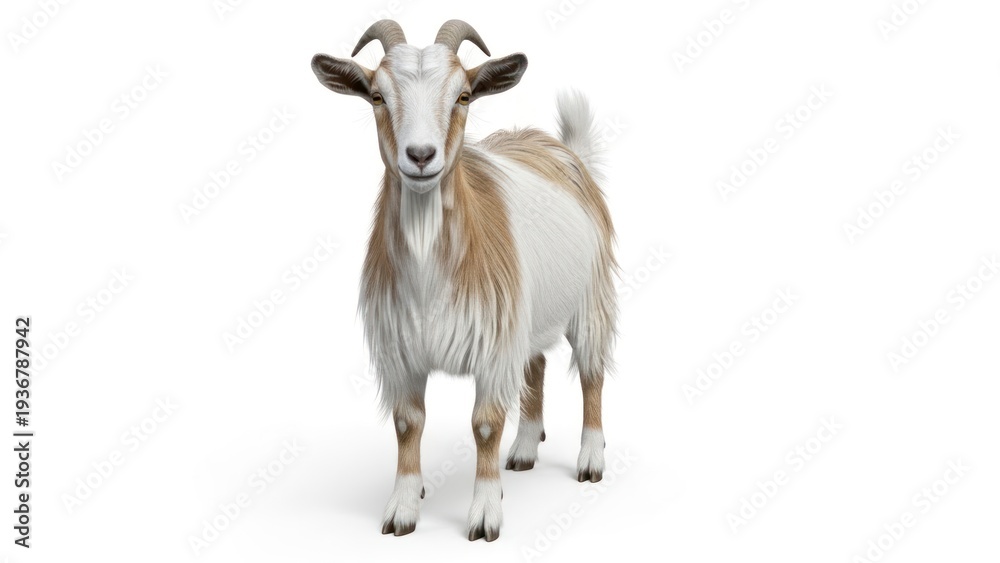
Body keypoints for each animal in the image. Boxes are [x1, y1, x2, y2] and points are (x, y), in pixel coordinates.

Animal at [311, 19, 618, 542]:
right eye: (376, 96)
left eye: (464, 96)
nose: (420, 155)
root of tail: (563, 151)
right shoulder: (402, 350)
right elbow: (407, 423)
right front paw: (402, 507)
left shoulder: (494, 345)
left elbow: (486, 426)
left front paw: (485, 516)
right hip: (529, 314)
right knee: (535, 365)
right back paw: (524, 449)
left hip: (591, 300)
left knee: (592, 374)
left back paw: (590, 460)